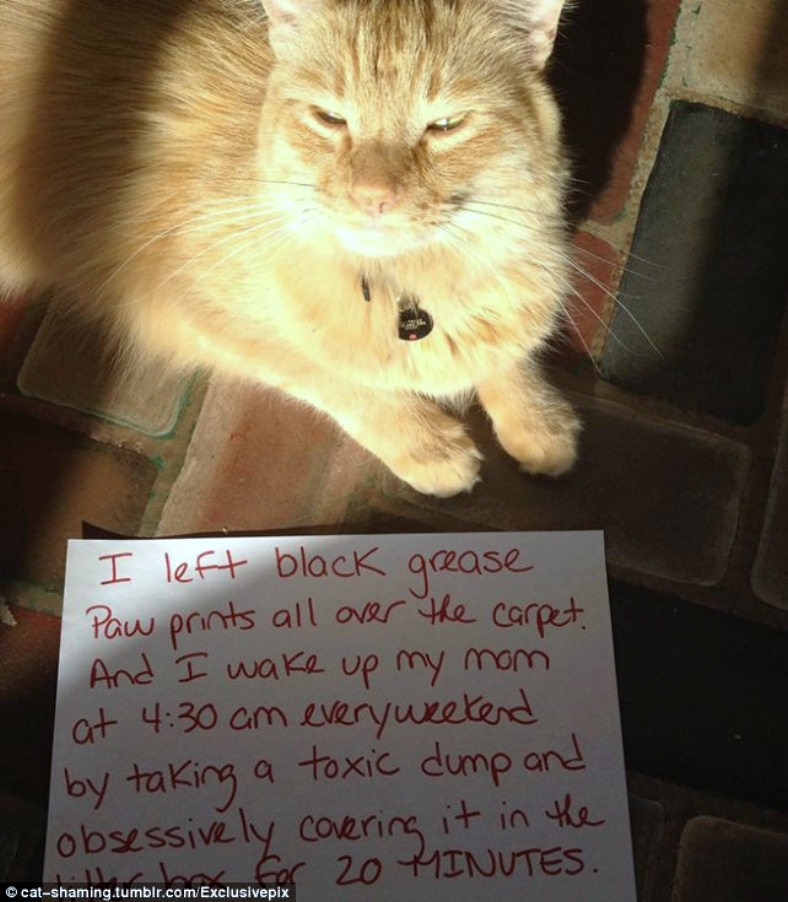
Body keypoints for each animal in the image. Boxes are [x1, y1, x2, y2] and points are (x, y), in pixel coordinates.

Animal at [0, 0, 580, 497]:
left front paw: (539, 420)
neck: (410, 283)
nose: (373, 197)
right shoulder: (188, 308)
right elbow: (332, 376)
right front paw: (428, 444)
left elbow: (512, 354)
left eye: (446, 125)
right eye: (330, 119)